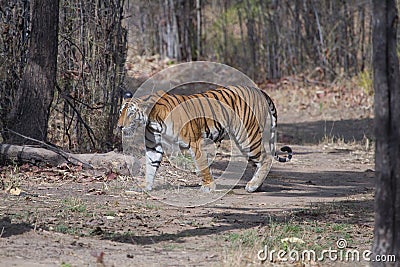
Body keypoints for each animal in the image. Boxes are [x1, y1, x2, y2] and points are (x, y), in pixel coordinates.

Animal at [117, 85, 292, 193]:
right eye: (120, 112)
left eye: (130, 113)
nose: (119, 126)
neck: (152, 120)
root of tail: (259, 90)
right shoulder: (154, 146)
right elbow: (150, 166)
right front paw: (145, 186)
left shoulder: (195, 143)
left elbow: (202, 165)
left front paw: (208, 186)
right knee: (259, 161)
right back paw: (257, 186)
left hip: (247, 135)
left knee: (266, 158)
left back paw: (252, 185)